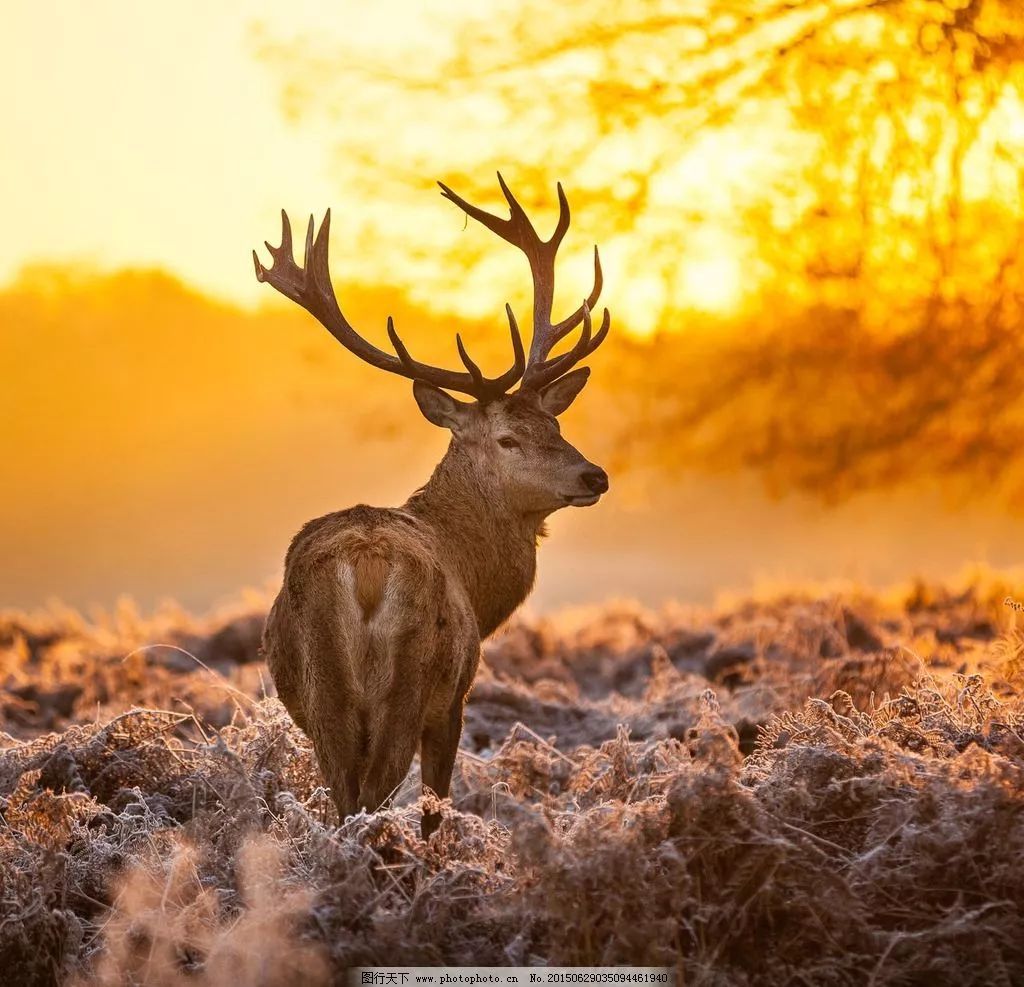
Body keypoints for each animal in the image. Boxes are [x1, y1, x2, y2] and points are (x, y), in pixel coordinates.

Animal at [252, 173, 610, 835]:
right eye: (508, 438)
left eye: (555, 424)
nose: (594, 475)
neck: (477, 579)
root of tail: (365, 568)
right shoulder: (454, 699)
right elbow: (436, 805)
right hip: (410, 683)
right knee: (375, 795)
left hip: (322, 695)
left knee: (345, 798)